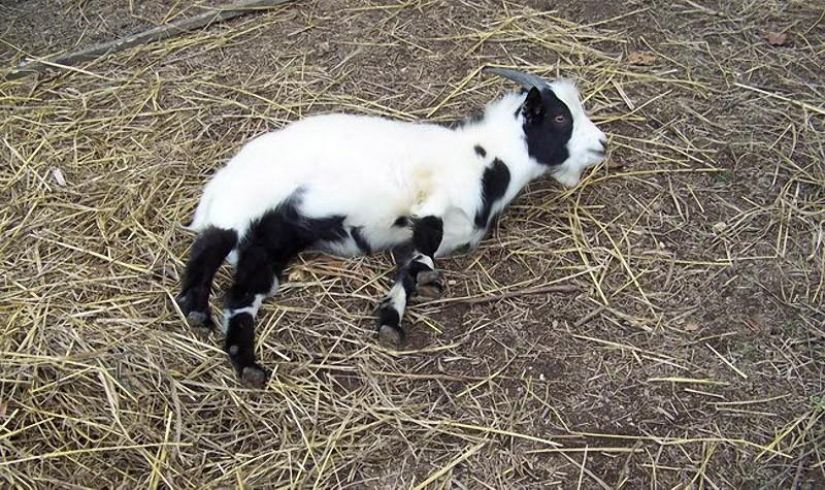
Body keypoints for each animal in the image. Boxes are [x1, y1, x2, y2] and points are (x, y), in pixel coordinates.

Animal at [176, 68, 608, 387]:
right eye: (559, 117)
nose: (603, 143)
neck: (488, 159)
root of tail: (221, 179)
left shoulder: (414, 238)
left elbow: (408, 271)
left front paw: (390, 321)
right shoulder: (432, 200)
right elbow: (426, 245)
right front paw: (425, 286)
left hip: (269, 244)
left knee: (242, 295)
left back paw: (247, 365)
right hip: (241, 207)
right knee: (208, 248)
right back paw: (195, 309)